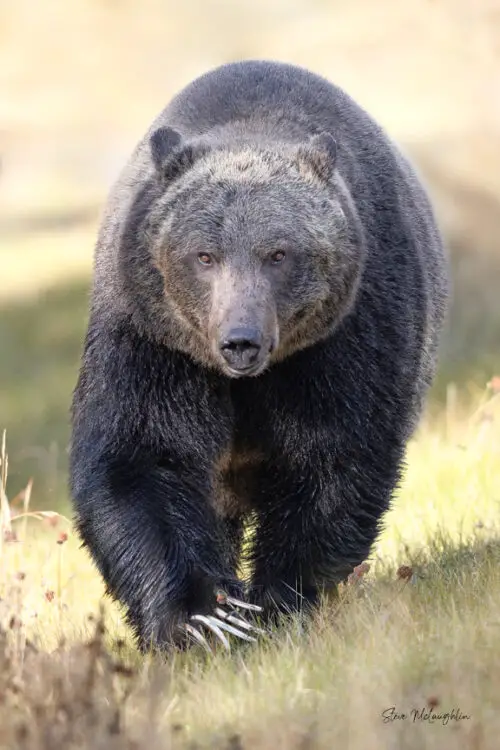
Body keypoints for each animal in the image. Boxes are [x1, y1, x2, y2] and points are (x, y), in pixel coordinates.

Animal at [70, 60, 449, 651]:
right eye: (204, 255)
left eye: (278, 253)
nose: (240, 340)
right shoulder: (152, 340)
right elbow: (140, 457)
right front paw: (205, 615)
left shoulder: (342, 340)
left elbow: (331, 458)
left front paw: (276, 601)